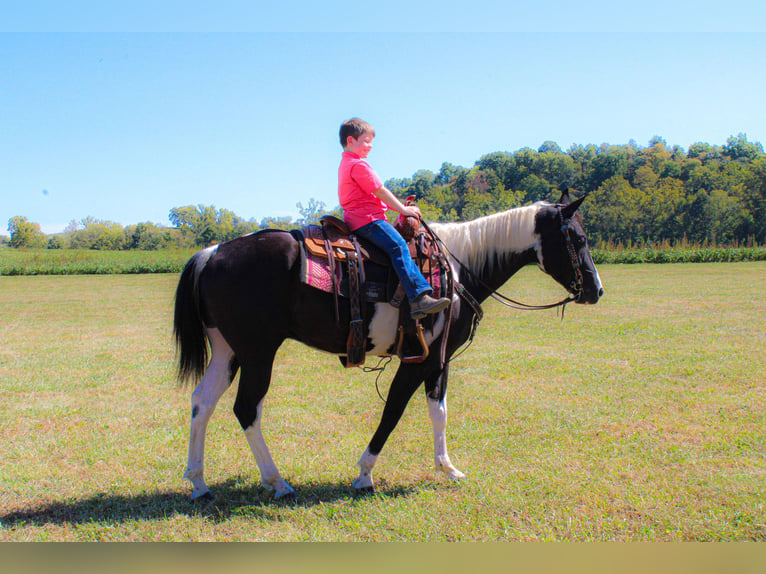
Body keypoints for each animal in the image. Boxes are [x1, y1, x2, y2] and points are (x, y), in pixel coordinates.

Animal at [174, 191, 608, 502]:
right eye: (579, 238)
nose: (597, 290)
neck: (458, 270)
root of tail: (213, 252)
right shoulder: (419, 358)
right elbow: (394, 411)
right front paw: (365, 474)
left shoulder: (439, 360)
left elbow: (438, 411)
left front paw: (448, 468)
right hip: (258, 352)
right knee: (246, 408)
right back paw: (276, 482)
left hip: (228, 352)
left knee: (202, 403)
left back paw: (199, 483)